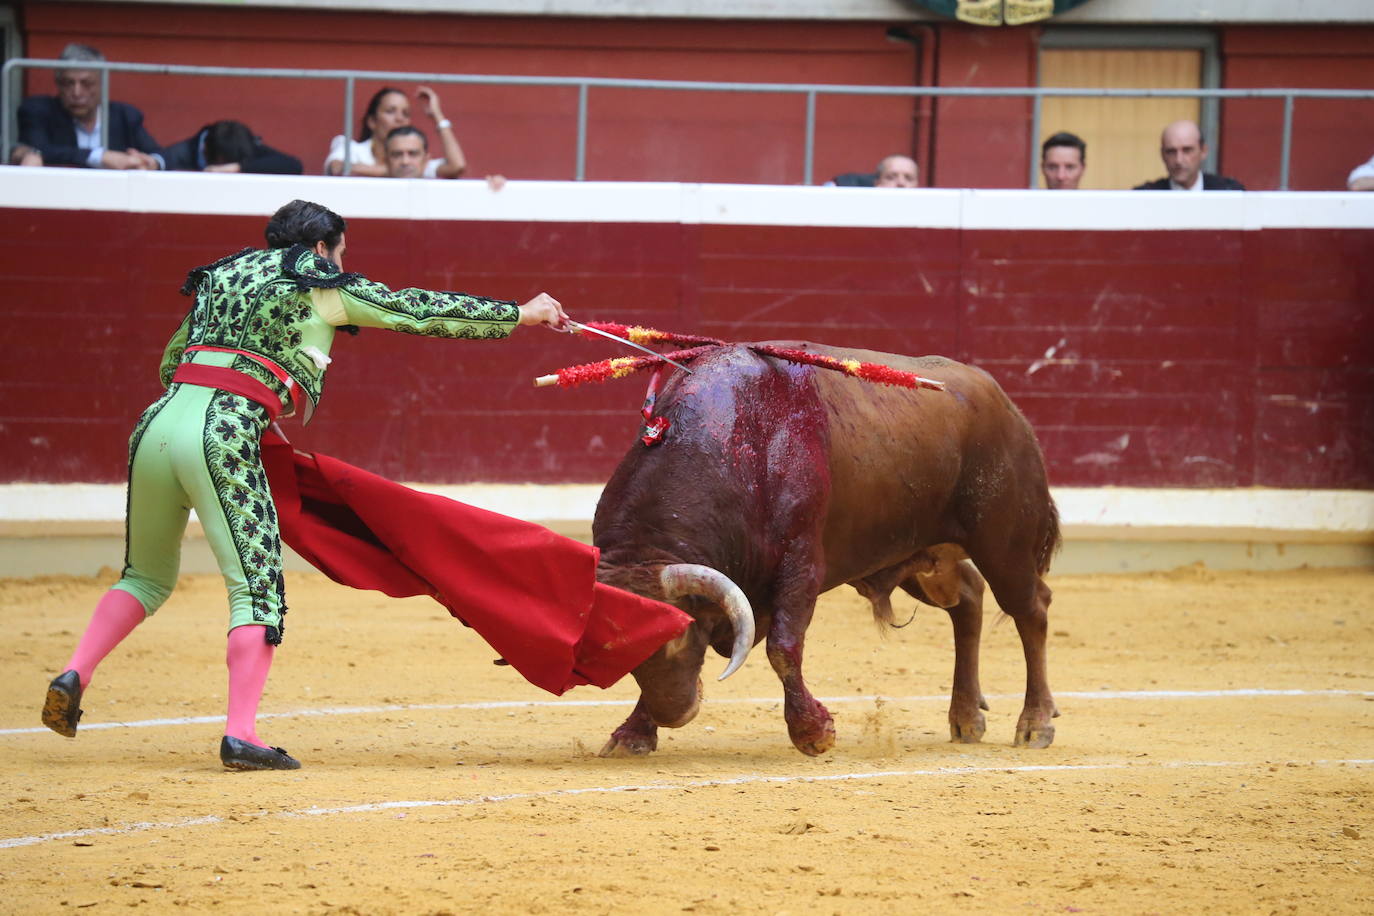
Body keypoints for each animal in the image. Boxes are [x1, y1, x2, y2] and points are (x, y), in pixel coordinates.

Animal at [593, 343, 1060, 758]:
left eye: (677, 636)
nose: (674, 713)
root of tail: (1003, 402)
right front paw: (633, 734)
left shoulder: (801, 566)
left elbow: (783, 648)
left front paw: (813, 733)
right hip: (919, 560)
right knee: (967, 598)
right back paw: (965, 717)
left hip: (1004, 545)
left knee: (1030, 609)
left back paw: (1034, 723)